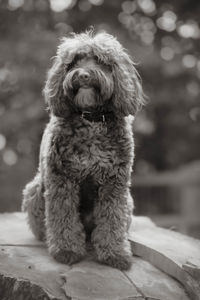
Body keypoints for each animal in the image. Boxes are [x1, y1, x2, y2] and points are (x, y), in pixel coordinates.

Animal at [21, 31, 144, 270]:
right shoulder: (62, 179)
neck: (91, 119)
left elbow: (112, 220)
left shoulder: (114, 185)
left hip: (129, 201)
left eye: (101, 61)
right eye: (74, 62)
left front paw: (115, 253)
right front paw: (67, 250)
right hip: (35, 190)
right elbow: (64, 217)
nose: (84, 75)